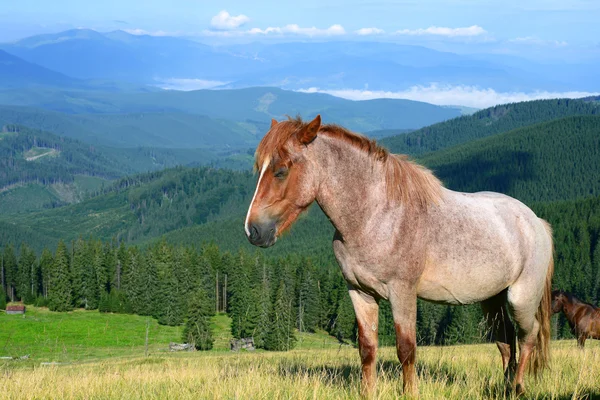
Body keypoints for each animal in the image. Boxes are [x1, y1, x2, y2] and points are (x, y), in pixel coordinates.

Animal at [244, 115, 552, 396]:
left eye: (281, 171)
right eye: (260, 169)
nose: (253, 230)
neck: (375, 216)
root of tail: (536, 222)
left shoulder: (402, 292)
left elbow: (406, 349)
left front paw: (410, 392)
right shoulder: (359, 292)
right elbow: (367, 348)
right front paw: (367, 393)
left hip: (520, 298)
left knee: (528, 336)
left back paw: (518, 388)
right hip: (491, 300)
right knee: (505, 341)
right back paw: (506, 387)